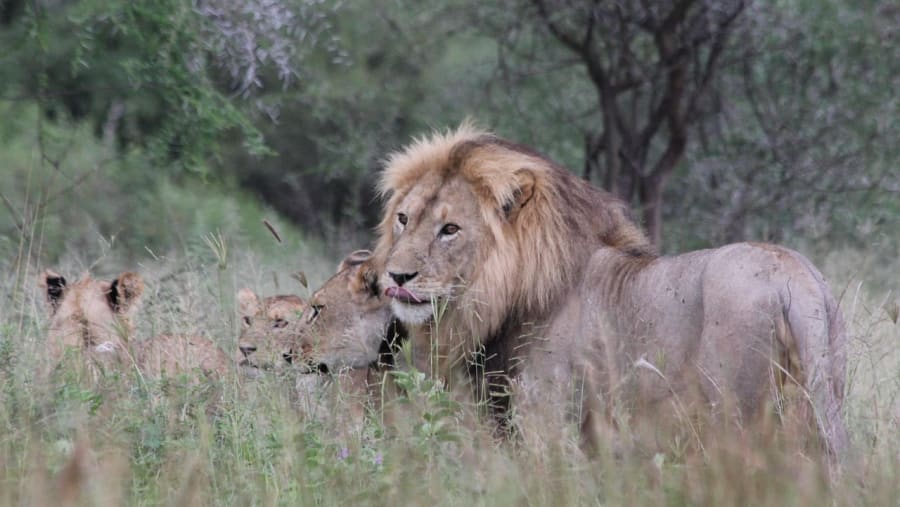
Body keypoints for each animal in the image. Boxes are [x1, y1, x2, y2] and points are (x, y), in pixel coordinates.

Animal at [373, 124, 849, 457]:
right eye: (403, 218)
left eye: (450, 229)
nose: (395, 277)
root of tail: (796, 278)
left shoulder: (547, 415)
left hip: (738, 415)